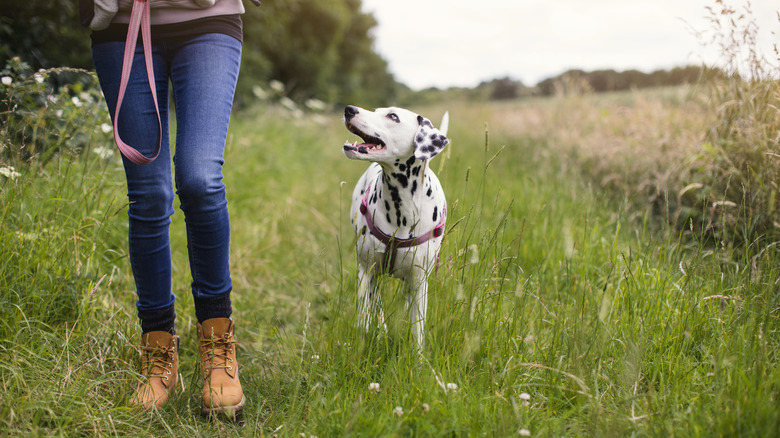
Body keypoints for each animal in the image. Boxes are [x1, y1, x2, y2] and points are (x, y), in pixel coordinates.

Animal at [342, 103, 448, 352]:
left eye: (393, 116)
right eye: (375, 110)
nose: (349, 109)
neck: (402, 211)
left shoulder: (419, 283)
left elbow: (418, 332)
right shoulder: (367, 271)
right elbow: (365, 318)